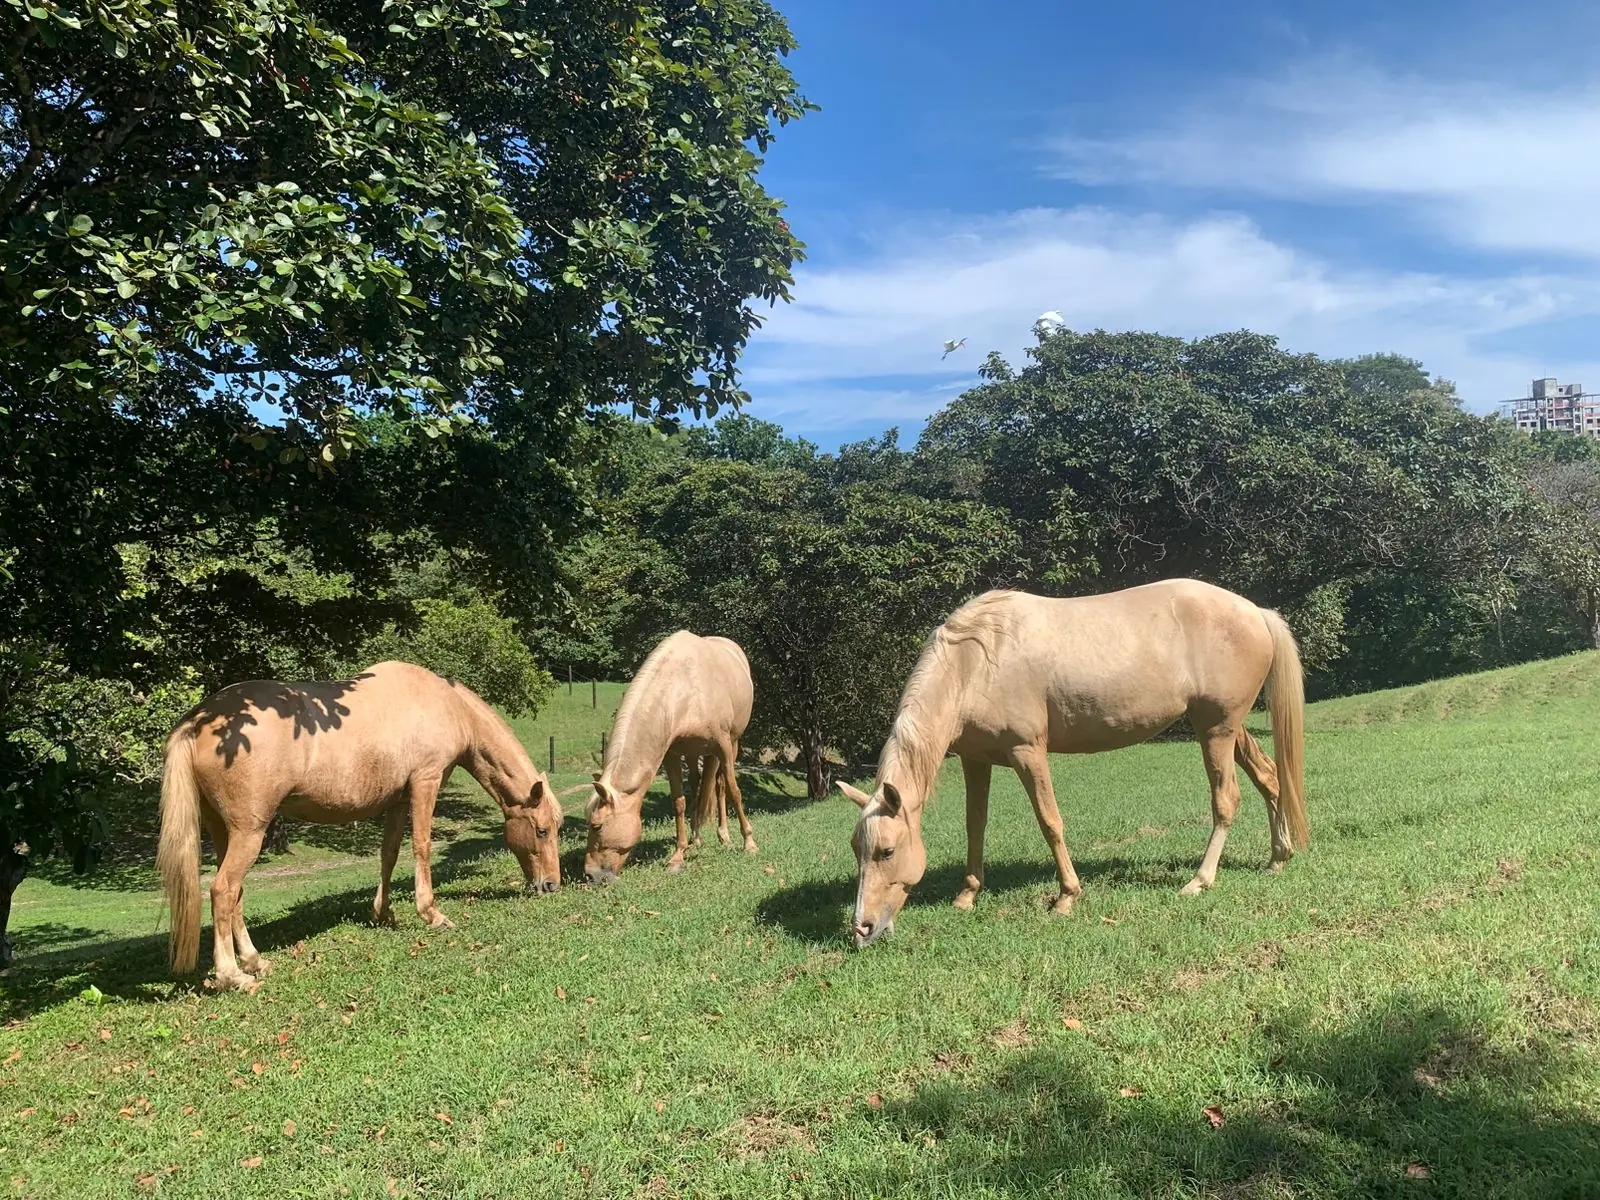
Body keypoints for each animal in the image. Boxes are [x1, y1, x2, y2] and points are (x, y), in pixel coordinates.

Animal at [157, 660, 563, 991]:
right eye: (542, 830)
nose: (551, 885)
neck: (447, 705)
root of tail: (198, 721)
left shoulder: (398, 799)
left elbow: (389, 853)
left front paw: (383, 913)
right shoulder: (425, 783)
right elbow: (421, 846)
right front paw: (430, 913)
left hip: (225, 831)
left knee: (235, 895)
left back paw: (256, 961)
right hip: (249, 833)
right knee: (223, 891)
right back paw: (232, 975)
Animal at [585, 631, 755, 882]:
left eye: (597, 826)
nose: (590, 874)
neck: (683, 691)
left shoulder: (723, 746)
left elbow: (734, 791)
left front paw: (749, 843)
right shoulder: (672, 755)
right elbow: (679, 802)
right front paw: (678, 856)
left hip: (732, 745)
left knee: (721, 785)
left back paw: (724, 836)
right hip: (694, 753)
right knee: (697, 785)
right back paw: (696, 838)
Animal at [840, 580, 1307, 948]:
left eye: (887, 850)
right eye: (856, 849)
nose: (862, 929)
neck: (975, 661)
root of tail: (1256, 612)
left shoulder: (1028, 752)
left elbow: (1050, 821)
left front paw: (1066, 896)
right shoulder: (975, 759)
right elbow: (976, 825)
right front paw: (968, 894)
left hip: (1216, 730)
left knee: (1227, 799)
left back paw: (1199, 880)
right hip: (1226, 728)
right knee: (1270, 779)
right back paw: (1278, 857)